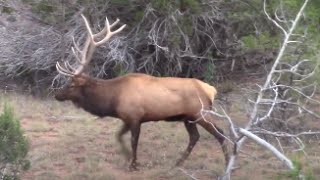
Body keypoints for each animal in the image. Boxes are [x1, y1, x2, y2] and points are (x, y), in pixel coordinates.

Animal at [55, 13, 230, 170]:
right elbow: (118, 136)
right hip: (188, 117)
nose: (57, 95)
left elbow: (134, 142)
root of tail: (211, 90)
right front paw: (127, 158)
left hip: (201, 113)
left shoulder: (135, 117)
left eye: (72, 85)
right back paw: (178, 163)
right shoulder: (126, 118)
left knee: (220, 134)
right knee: (195, 137)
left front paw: (133, 164)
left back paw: (228, 162)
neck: (112, 100)